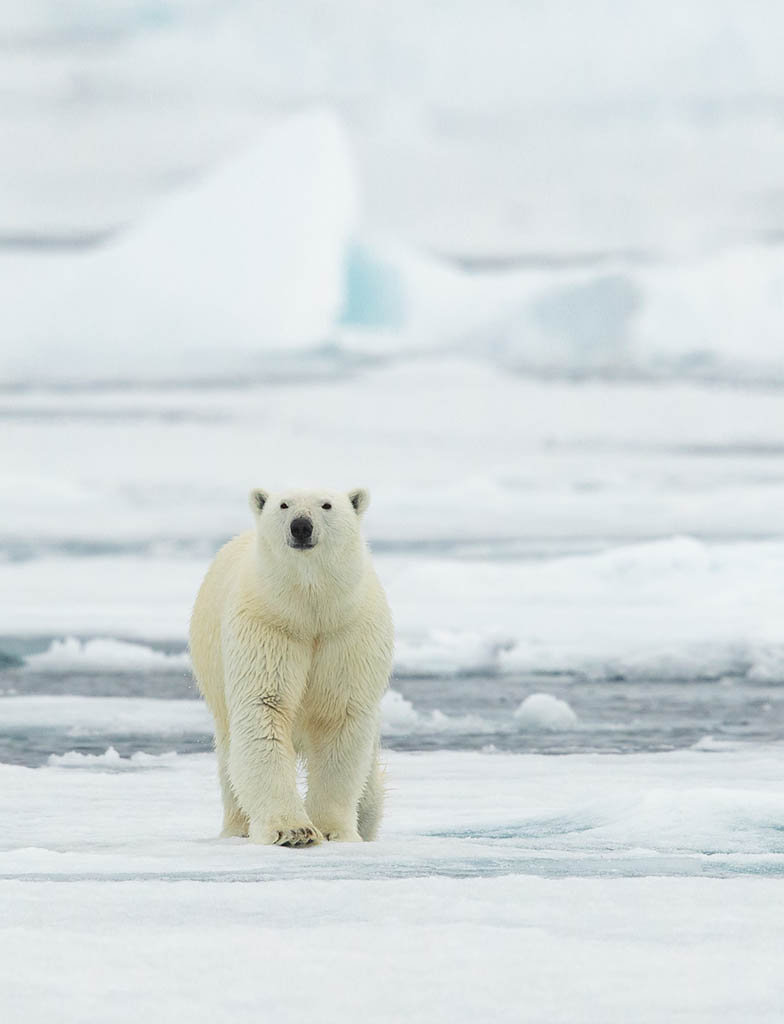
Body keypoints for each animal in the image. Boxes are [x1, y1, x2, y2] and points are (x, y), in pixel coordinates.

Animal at [190, 487, 393, 847]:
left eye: (327, 505)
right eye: (283, 505)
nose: (301, 526)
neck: (309, 608)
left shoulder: (347, 633)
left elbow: (339, 718)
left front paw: (334, 830)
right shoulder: (268, 626)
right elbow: (265, 709)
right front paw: (292, 831)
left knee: (369, 785)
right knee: (230, 763)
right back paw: (237, 829)